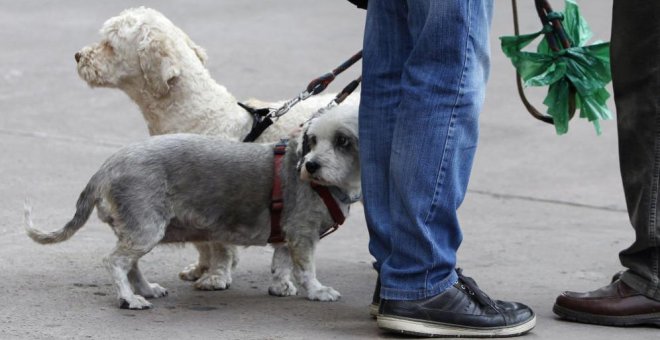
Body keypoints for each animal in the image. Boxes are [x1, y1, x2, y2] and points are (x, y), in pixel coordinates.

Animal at [24, 107, 360, 310]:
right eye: (313, 140)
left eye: (343, 141)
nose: (311, 166)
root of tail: (108, 166)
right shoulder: (302, 233)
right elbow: (306, 268)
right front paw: (317, 290)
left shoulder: (287, 233)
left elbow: (281, 262)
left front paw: (281, 286)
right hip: (146, 227)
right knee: (116, 262)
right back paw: (129, 298)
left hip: (137, 229)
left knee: (131, 263)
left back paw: (145, 289)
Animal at [76, 6, 360, 290]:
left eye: (109, 44)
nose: (78, 56)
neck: (199, 114)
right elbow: (202, 243)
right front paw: (200, 269)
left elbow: (219, 245)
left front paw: (216, 276)